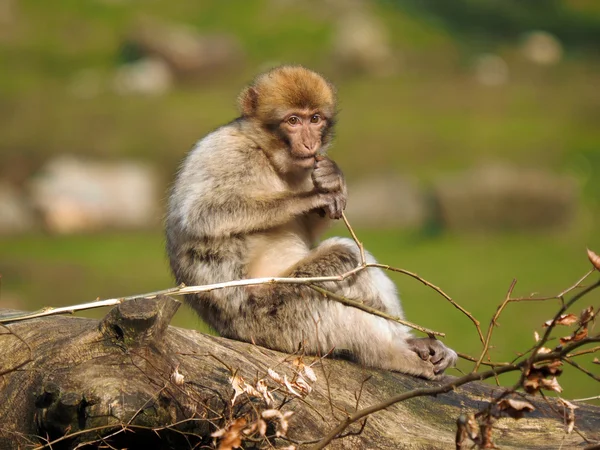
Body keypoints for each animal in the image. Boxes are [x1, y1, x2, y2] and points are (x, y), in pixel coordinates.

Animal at [166, 64, 458, 380]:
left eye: (315, 119)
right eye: (293, 120)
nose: (310, 143)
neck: (267, 154)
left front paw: (334, 178)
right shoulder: (226, 153)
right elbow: (204, 214)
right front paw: (312, 197)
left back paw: (409, 341)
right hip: (279, 320)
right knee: (343, 257)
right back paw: (389, 355)